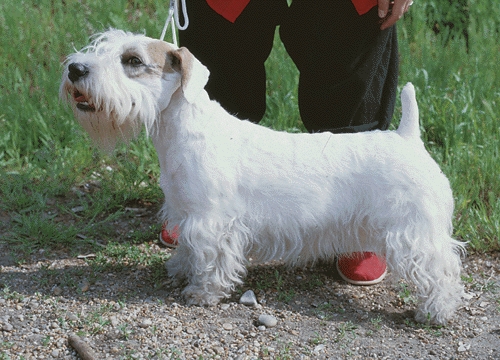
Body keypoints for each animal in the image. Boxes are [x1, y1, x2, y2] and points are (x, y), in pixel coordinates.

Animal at [61, 29, 464, 324]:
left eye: (133, 60)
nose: (75, 69)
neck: (180, 130)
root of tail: (408, 136)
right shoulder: (184, 212)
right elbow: (187, 247)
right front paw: (179, 269)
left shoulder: (211, 221)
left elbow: (210, 257)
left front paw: (201, 292)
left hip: (416, 233)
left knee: (440, 270)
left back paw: (435, 313)